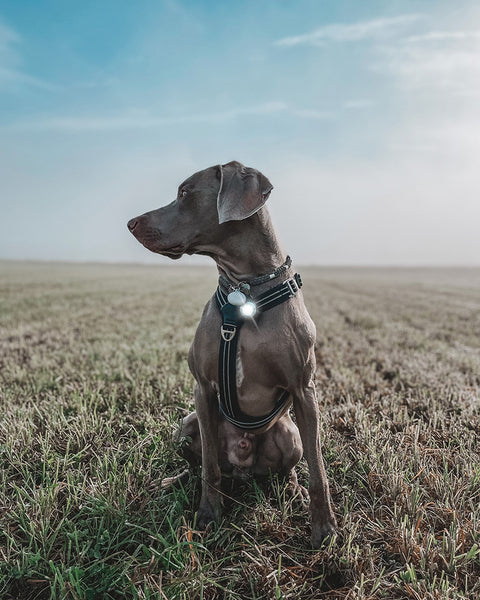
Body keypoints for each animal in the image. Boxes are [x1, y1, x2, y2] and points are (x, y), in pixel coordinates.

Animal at [127, 162, 338, 548]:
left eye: (184, 192)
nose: (132, 223)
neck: (246, 291)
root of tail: (243, 468)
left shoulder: (304, 390)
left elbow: (318, 471)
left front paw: (325, 528)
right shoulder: (203, 388)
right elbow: (209, 466)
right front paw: (208, 515)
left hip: (290, 434)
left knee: (290, 470)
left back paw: (292, 490)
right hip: (187, 424)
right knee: (199, 465)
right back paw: (175, 481)